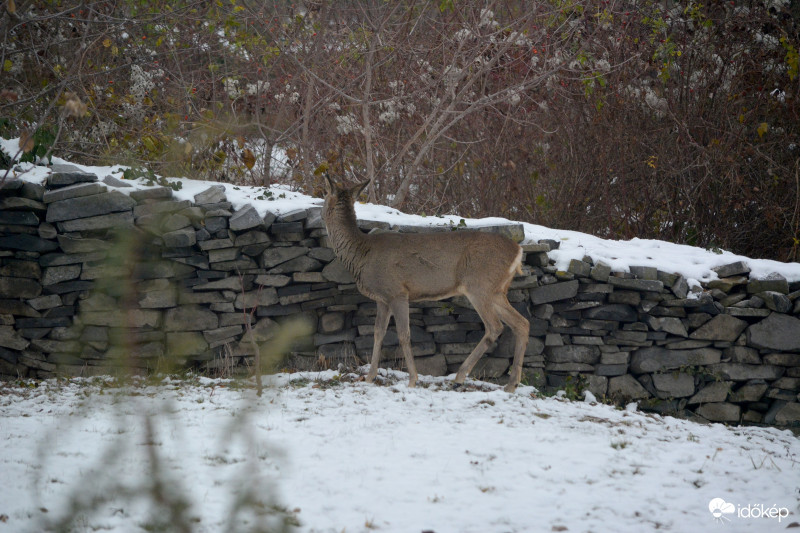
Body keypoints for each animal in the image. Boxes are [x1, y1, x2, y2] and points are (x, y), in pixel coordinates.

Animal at [322, 175, 528, 390]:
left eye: (324, 197)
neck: (361, 255)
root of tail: (518, 250)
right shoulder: (382, 299)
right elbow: (378, 333)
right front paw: (369, 377)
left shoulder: (397, 291)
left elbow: (404, 335)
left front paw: (413, 379)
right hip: (496, 290)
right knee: (522, 323)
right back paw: (511, 384)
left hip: (479, 285)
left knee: (495, 326)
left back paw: (460, 376)